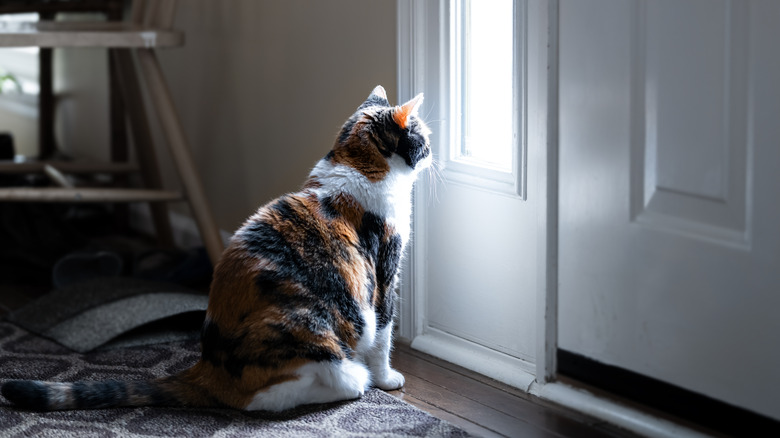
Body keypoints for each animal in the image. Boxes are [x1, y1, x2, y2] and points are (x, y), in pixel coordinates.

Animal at [1, 84, 432, 410]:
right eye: (423, 136)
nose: (432, 152)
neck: (358, 164)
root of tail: (207, 369)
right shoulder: (384, 273)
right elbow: (383, 333)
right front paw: (386, 378)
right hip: (315, 334)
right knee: (268, 398)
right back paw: (355, 381)